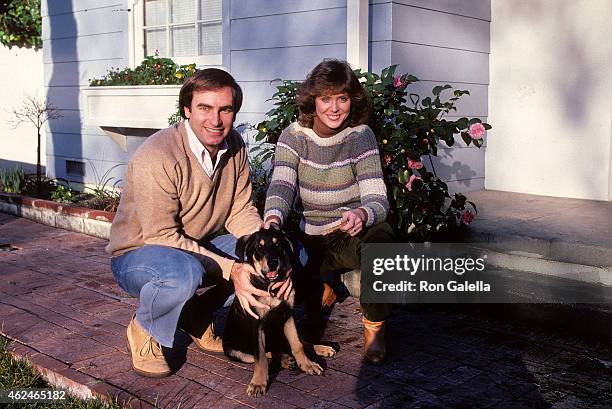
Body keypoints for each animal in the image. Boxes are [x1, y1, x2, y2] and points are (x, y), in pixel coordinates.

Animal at [222, 228, 334, 394]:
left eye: (278, 245)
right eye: (259, 247)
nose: (273, 263)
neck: (270, 287)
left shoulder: (288, 314)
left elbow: (297, 344)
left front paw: (307, 365)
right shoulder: (257, 324)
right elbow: (260, 356)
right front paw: (258, 383)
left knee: (299, 343)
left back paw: (321, 349)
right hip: (234, 351)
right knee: (266, 354)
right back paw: (285, 360)